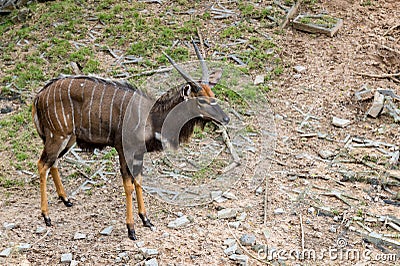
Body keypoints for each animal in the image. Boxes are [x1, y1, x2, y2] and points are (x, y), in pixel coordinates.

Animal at [32, 40, 230, 241]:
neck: (151, 117)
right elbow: (128, 185)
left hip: (68, 139)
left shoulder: (139, 153)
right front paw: (131, 228)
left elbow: (139, 181)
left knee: (53, 162)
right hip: (57, 136)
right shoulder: (123, 149)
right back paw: (46, 216)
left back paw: (66, 200)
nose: (226, 118)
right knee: (42, 164)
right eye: (201, 101)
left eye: (213, 94)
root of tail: (39, 96)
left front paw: (146, 220)